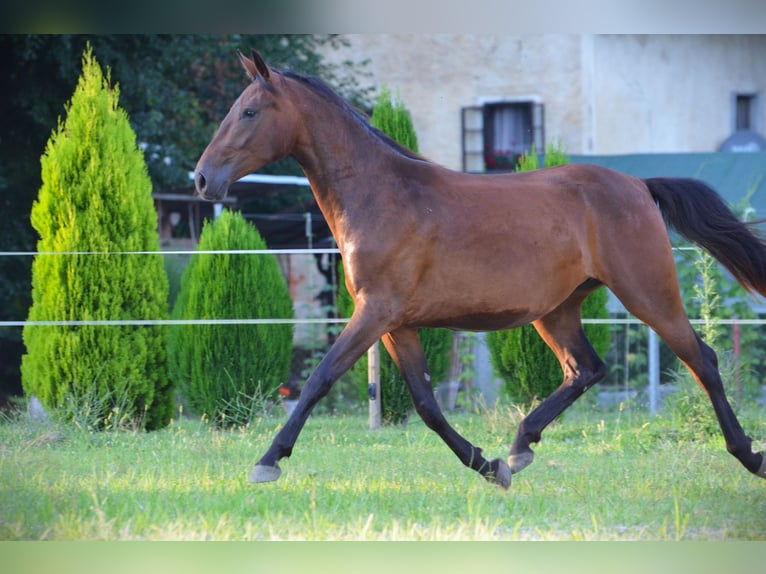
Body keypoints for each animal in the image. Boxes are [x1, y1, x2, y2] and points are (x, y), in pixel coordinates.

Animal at [194, 50, 766, 490]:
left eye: (249, 111)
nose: (202, 179)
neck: (383, 194)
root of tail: (639, 185)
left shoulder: (374, 313)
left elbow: (319, 379)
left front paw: (267, 461)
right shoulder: (396, 324)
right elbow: (426, 404)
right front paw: (487, 465)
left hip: (647, 293)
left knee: (703, 360)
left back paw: (749, 455)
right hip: (558, 310)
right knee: (586, 369)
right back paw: (519, 447)